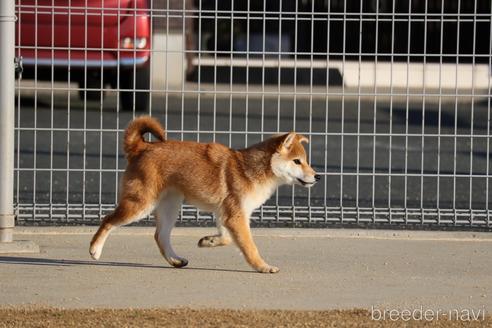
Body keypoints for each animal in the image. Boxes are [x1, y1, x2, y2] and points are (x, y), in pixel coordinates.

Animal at [89, 116, 320, 272]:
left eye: (305, 160)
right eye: (297, 161)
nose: (317, 176)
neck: (250, 169)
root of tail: (141, 147)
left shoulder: (227, 215)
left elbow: (226, 239)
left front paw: (208, 241)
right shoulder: (236, 216)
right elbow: (249, 247)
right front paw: (263, 266)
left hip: (169, 207)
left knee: (160, 236)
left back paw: (175, 260)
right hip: (141, 204)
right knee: (108, 220)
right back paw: (95, 250)